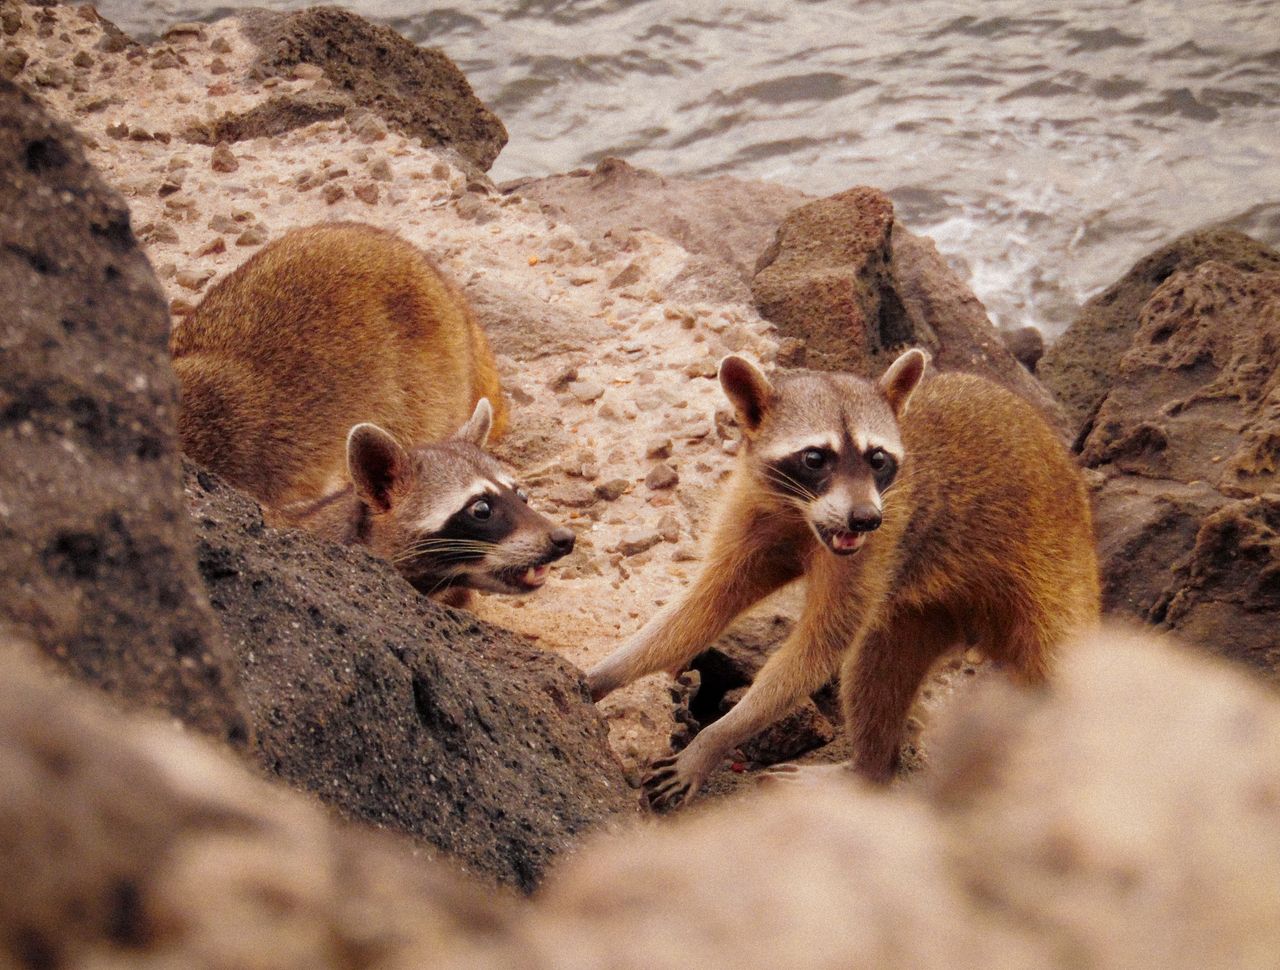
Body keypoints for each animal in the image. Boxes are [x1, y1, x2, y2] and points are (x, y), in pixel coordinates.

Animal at [587, 349, 1099, 809]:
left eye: (878, 459)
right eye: (815, 458)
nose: (865, 518)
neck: (803, 517)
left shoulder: (883, 538)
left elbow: (819, 645)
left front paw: (713, 738)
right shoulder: (755, 511)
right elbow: (702, 608)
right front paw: (605, 673)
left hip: (1057, 577)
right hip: (926, 611)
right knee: (877, 667)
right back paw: (870, 770)